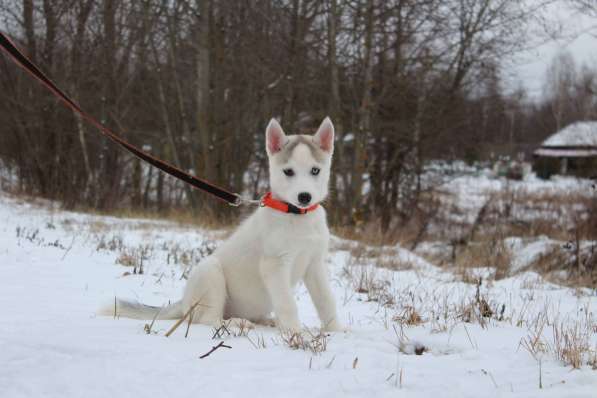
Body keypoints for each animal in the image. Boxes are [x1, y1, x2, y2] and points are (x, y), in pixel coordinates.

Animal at [103, 118, 340, 332]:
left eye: (315, 170)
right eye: (288, 172)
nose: (304, 197)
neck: (298, 216)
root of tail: (183, 302)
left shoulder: (315, 265)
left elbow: (326, 301)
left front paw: (337, 330)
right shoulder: (275, 265)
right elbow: (287, 304)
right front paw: (297, 335)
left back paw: (266, 321)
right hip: (210, 272)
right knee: (208, 319)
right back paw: (235, 324)